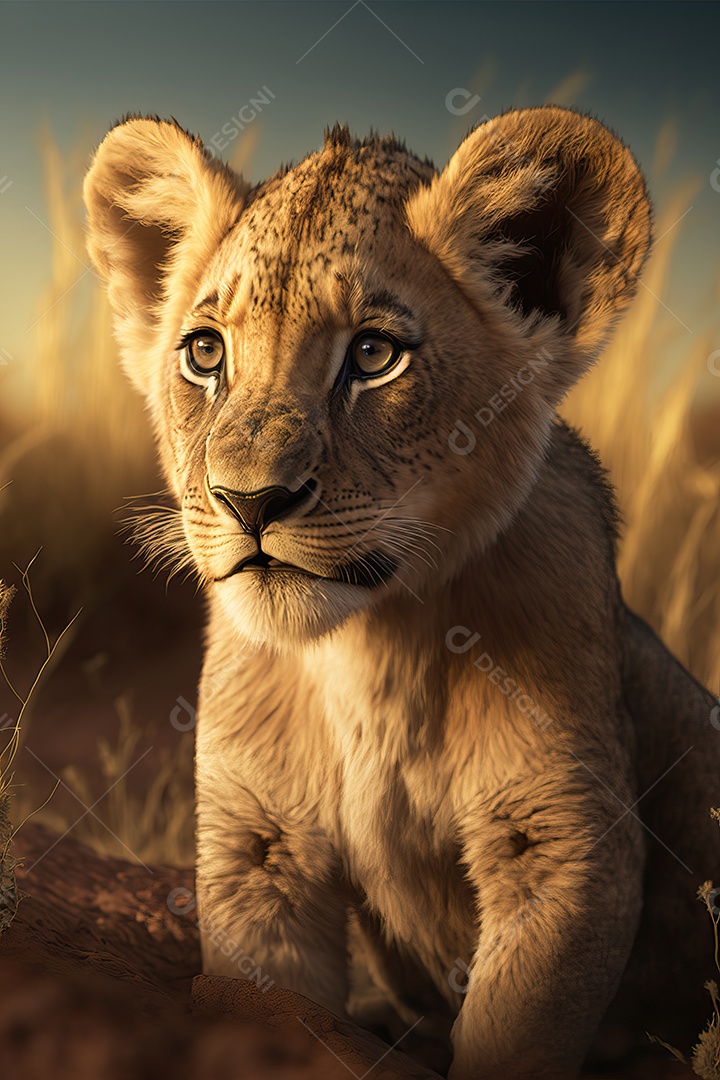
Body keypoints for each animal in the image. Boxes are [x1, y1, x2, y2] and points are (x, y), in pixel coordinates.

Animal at [83, 108, 719, 1079]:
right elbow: (264, 1003)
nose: (250, 502)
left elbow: (513, 1035)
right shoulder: (257, 846)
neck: (368, 647)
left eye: (374, 355)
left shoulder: (555, 845)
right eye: (205, 352)